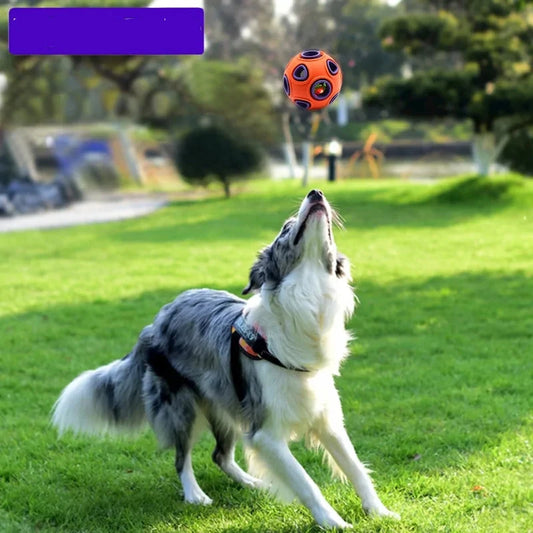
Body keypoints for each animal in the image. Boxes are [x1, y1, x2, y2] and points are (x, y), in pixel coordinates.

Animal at [52, 190, 396, 528]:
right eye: (286, 229)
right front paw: (333, 522)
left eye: (329, 232)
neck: (307, 295)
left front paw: (380, 513)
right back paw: (195, 494)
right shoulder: (266, 433)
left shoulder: (326, 419)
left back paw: (254, 483)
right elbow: (305, 482)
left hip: (224, 406)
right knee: (182, 458)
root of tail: (157, 319)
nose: (316, 193)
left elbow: (355, 468)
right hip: (182, 407)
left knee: (220, 455)